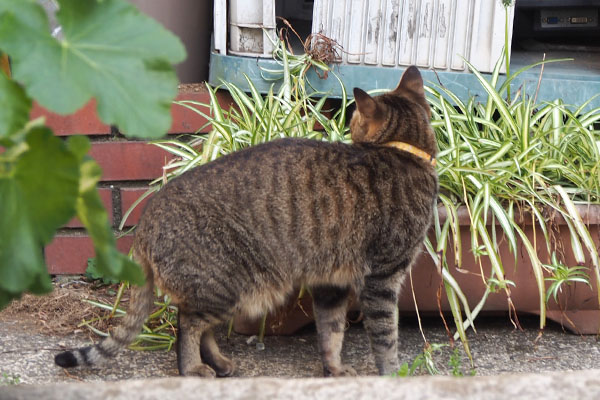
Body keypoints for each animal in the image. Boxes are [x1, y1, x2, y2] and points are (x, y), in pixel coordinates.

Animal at [55, 65, 436, 378]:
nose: (347, 129)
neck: (405, 151)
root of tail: (146, 220)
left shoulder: (332, 285)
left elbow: (332, 334)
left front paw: (335, 370)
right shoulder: (381, 280)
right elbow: (385, 339)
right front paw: (392, 376)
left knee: (200, 326)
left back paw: (219, 363)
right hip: (229, 286)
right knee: (187, 323)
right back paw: (192, 368)